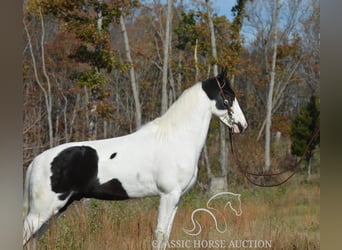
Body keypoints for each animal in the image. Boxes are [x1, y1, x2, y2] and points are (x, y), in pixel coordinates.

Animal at [22, 69, 247, 249]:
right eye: (229, 96)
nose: (242, 126)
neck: (176, 138)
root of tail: (36, 162)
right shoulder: (168, 195)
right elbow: (160, 234)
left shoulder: (177, 198)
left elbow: (166, 235)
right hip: (42, 211)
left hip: (54, 210)